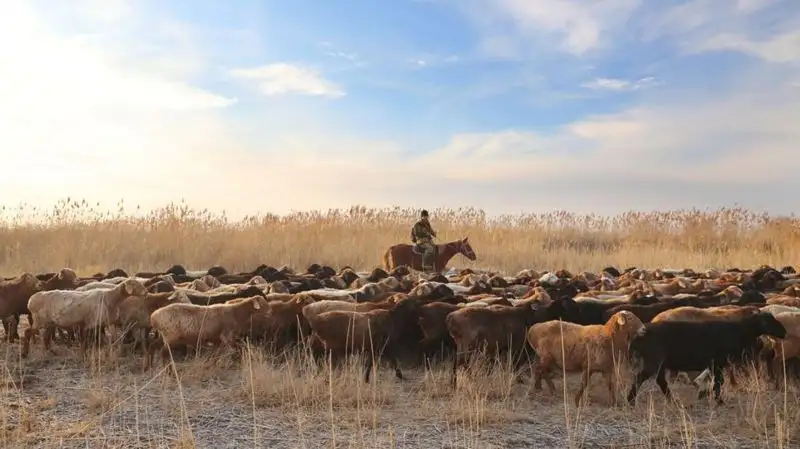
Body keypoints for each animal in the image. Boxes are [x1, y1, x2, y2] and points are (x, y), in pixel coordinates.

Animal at [624, 312, 788, 402]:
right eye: (769, 321)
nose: (784, 332)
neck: (741, 331)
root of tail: (640, 333)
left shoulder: (715, 364)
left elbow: (717, 381)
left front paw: (710, 396)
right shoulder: (717, 362)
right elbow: (719, 382)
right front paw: (718, 400)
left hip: (660, 363)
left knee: (660, 381)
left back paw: (672, 401)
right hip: (654, 361)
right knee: (640, 378)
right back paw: (630, 401)